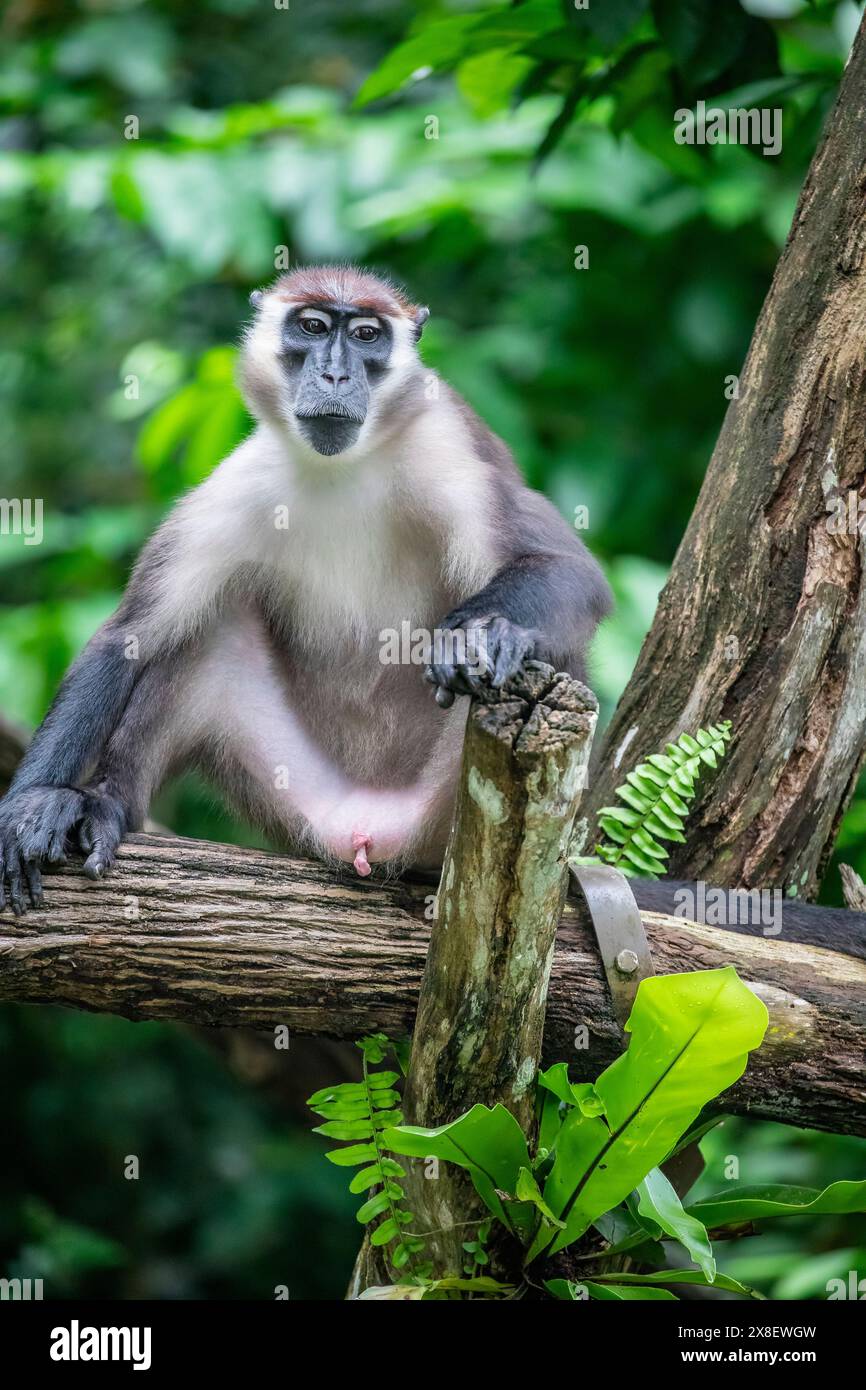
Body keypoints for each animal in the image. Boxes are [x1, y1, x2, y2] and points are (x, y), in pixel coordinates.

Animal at [0, 265, 614, 911]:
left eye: (367, 334)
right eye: (313, 327)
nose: (335, 374)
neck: (343, 466)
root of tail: (369, 829)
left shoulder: (447, 435)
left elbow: (567, 568)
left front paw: (476, 636)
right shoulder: (244, 478)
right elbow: (129, 637)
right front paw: (30, 803)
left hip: (440, 813)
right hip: (300, 800)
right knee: (208, 639)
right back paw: (107, 805)